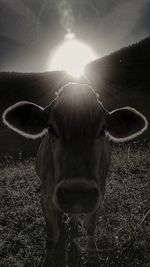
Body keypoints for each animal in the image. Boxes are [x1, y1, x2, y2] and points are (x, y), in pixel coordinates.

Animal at [2, 83, 148, 267]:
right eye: (51, 128)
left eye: (102, 129)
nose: (77, 194)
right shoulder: (45, 195)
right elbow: (52, 235)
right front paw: (50, 258)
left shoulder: (99, 193)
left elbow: (90, 227)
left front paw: (92, 256)